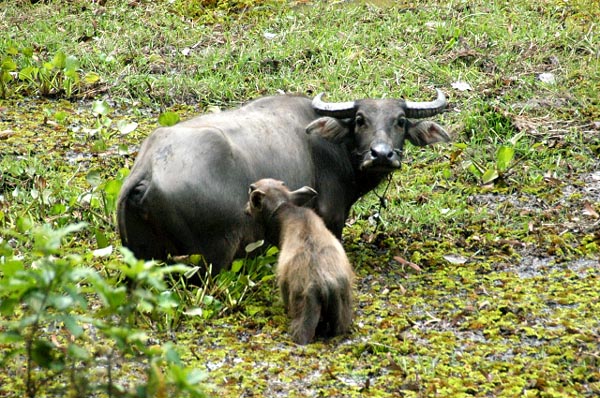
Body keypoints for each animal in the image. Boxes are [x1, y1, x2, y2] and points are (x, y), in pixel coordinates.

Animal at [116, 88, 450, 272]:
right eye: (360, 120)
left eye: (400, 121)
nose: (381, 155)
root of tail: (147, 168)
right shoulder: (330, 218)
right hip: (215, 254)